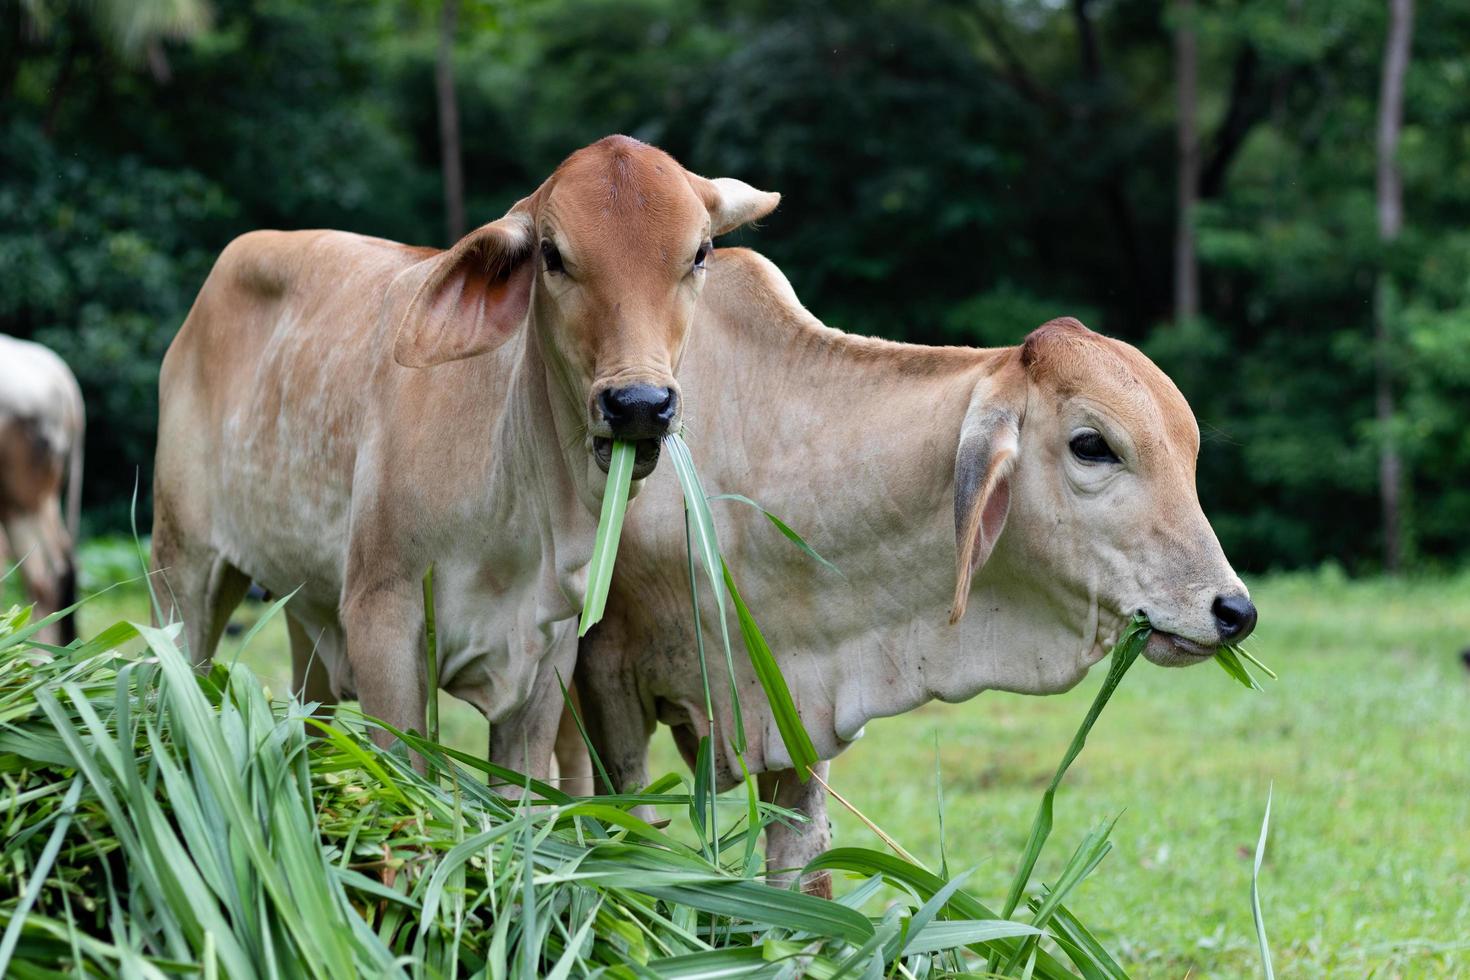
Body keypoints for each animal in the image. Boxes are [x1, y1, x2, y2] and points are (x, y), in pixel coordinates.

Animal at [151, 136, 778, 773]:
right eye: (552, 255)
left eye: (699, 253)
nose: (639, 404)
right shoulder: (381, 617)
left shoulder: (547, 654)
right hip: (180, 567)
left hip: (306, 613)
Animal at [562, 248, 1257, 893]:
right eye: (1092, 445)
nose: (1236, 612)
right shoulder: (608, 677)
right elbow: (631, 832)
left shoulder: (799, 714)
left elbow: (803, 877)